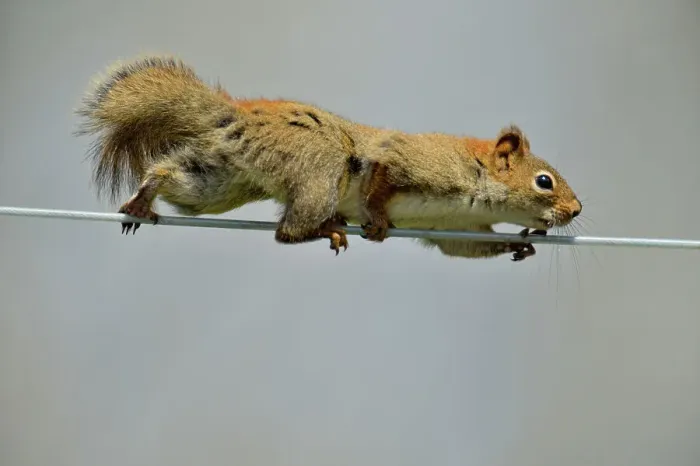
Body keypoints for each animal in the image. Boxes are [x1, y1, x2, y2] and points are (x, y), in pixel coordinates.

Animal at [76, 55, 582, 261]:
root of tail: (237, 115)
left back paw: (144, 197)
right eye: (544, 181)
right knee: (287, 232)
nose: (576, 210)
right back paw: (326, 229)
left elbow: (465, 247)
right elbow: (380, 178)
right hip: (321, 167)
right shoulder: (410, 162)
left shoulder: (459, 227)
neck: (476, 181)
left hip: (224, 180)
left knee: (176, 179)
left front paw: (522, 243)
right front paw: (376, 219)